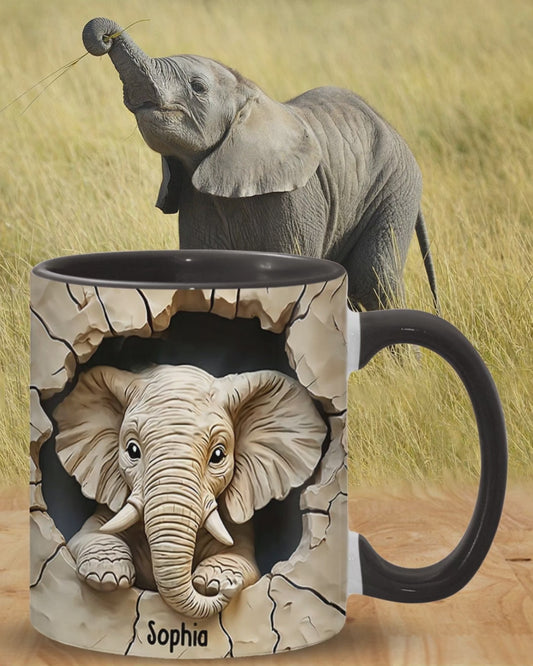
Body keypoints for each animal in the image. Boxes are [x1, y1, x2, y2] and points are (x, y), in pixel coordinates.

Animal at [53, 364, 327, 619]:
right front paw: (107, 575)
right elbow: (85, 535)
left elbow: (245, 559)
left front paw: (215, 582)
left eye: (218, 455)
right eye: (132, 450)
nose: (225, 591)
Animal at [81, 17, 439, 313]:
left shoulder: (296, 197)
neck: (251, 95)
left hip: (395, 187)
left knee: (376, 278)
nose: (105, 38)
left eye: (198, 87)